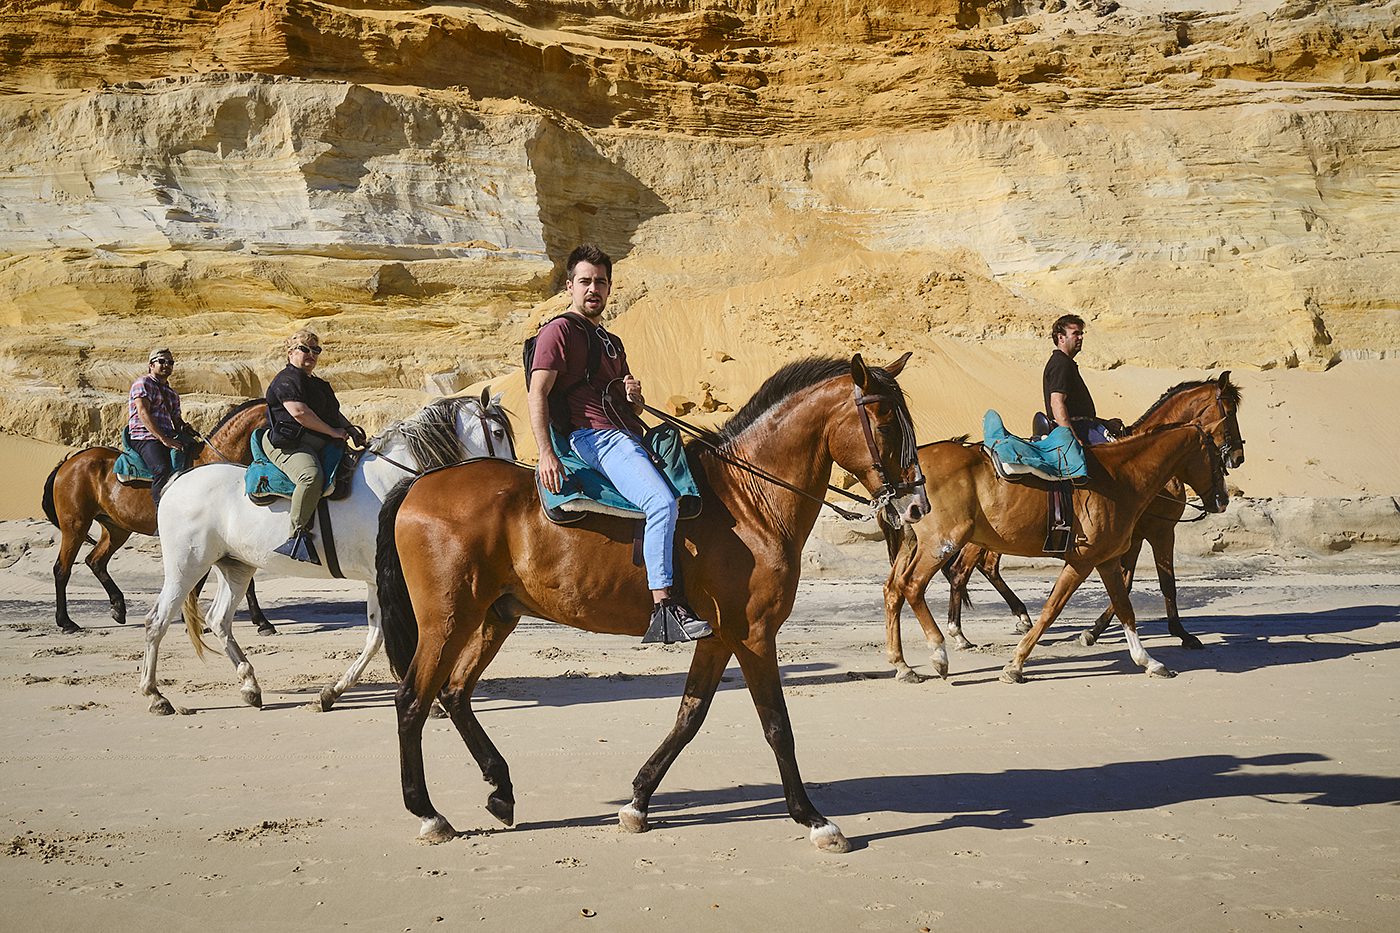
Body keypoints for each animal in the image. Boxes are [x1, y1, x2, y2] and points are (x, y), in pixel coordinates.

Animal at [38, 395, 273, 636]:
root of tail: (67, 464)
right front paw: (260, 621)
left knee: (95, 561)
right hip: (75, 525)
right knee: (62, 569)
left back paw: (118, 607)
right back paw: (66, 621)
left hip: (116, 529)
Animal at [142, 389, 518, 714]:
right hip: (187, 567)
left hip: (236, 567)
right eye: (498, 431)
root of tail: (180, 480)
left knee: (219, 620)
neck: (389, 480)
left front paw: (331, 693)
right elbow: (384, 637)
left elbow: (378, 636)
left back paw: (249, 686)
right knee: (157, 620)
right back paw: (155, 695)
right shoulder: (384, 580)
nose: (513, 472)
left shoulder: (379, 582)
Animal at [375, 354, 929, 851]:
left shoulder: (720, 638)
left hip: (494, 617)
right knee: (412, 700)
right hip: (448, 620)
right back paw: (428, 814)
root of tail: (420, 482)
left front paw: (638, 801)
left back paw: (501, 790)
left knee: (454, 694)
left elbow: (689, 717)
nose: (917, 505)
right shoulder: (753, 635)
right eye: (884, 421)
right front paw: (814, 819)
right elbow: (777, 726)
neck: (749, 500)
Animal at [890, 369, 1243, 675]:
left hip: (926, 542)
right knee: (921, 583)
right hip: (945, 541)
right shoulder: (1136, 539)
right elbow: (1058, 607)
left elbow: (1125, 602)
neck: (1123, 475)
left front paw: (1145, 657)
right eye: (1229, 415)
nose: (1236, 459)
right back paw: (942, 648)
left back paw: (907, 660)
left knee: (896, 587)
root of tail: (911, 468)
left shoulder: (1109, 555)